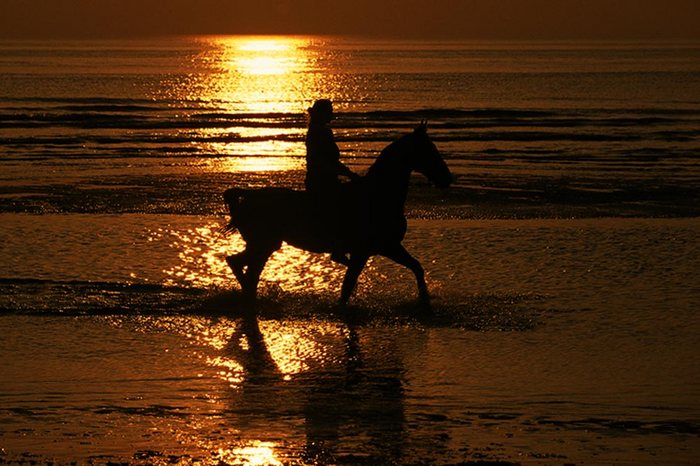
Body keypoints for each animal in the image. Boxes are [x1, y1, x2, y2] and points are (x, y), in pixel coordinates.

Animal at [224, 121, 454, 306]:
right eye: (429, 150)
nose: (447, 178)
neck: (377, 196)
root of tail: (248, 196)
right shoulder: (367, 251)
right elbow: (347, 285)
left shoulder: (388, 246)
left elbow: (417, 267)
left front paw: (425, 299)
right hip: (264, 244)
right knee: (243, 268)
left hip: (264, 245)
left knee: (239, 265)